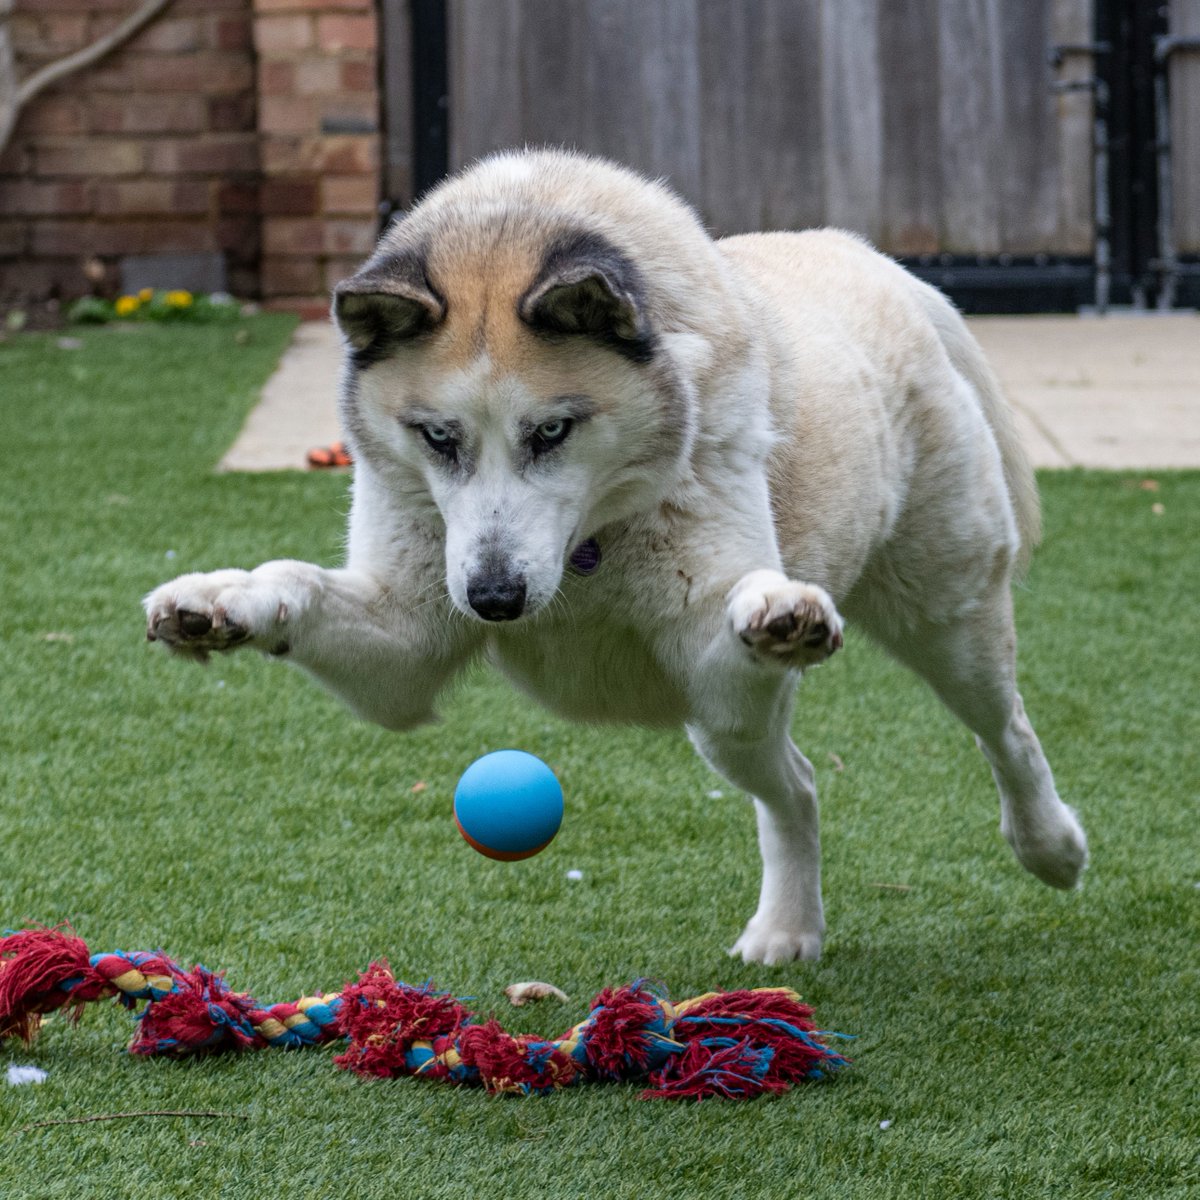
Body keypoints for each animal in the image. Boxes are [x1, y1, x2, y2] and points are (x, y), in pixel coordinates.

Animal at [142, 147, 1089, 964]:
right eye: (437, 437)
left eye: (553, 431)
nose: (493, 599)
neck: (588, 548)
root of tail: (874, 263)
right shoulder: (404, 642)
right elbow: (303, 589)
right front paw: (223, 603)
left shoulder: (708, 649)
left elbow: (743, 613)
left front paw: (776, 610)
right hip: (733, 728)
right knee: (797, 785)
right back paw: (788, 928)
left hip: (941, 620)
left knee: (1004, 729)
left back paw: (1051, 846)